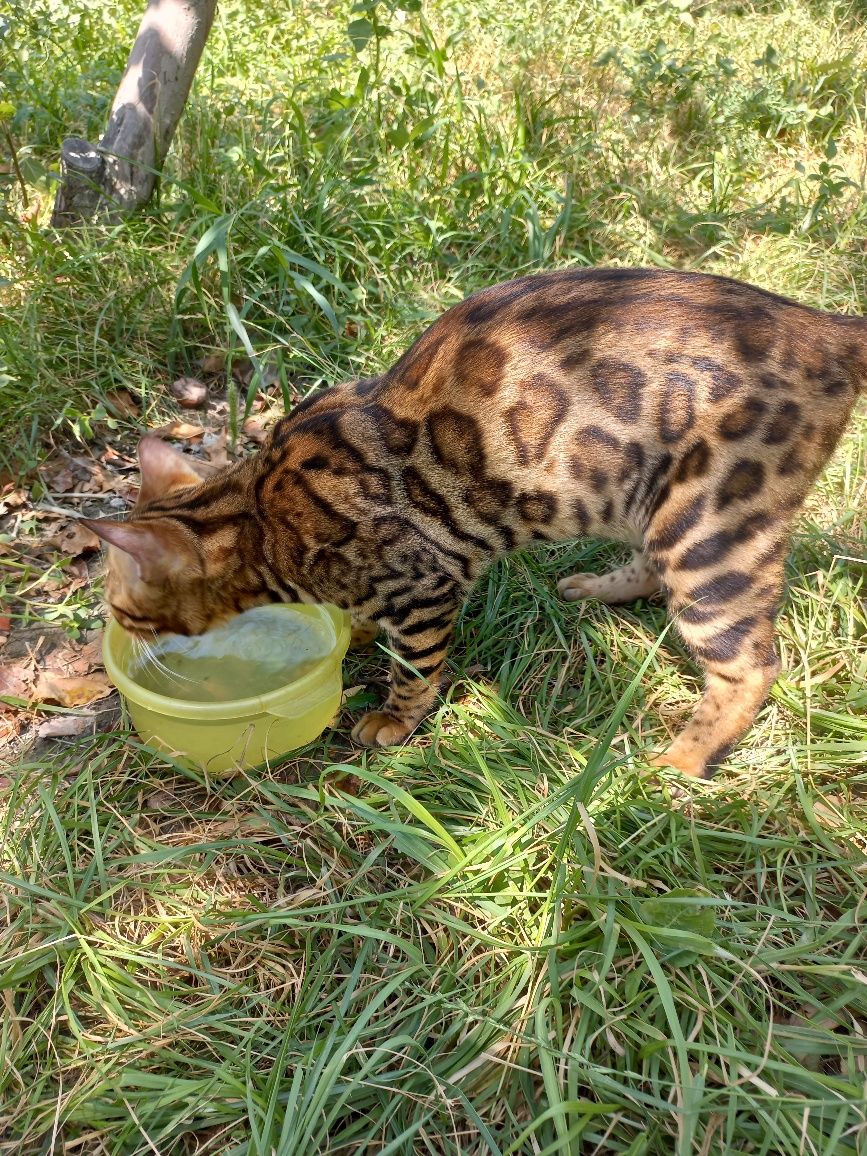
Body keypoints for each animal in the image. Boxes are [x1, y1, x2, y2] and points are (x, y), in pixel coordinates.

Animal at [83, 269, 867, 776]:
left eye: (123, 608)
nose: (115, 637)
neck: (261, 518)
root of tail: (825, 327)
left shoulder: (426, 581)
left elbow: (415, 664)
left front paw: (394, 719)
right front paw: (355, 631)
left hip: (710, 530)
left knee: (750, 666)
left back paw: (679, 762)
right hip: (651, 501)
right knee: (652, 570)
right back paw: (598, 588)